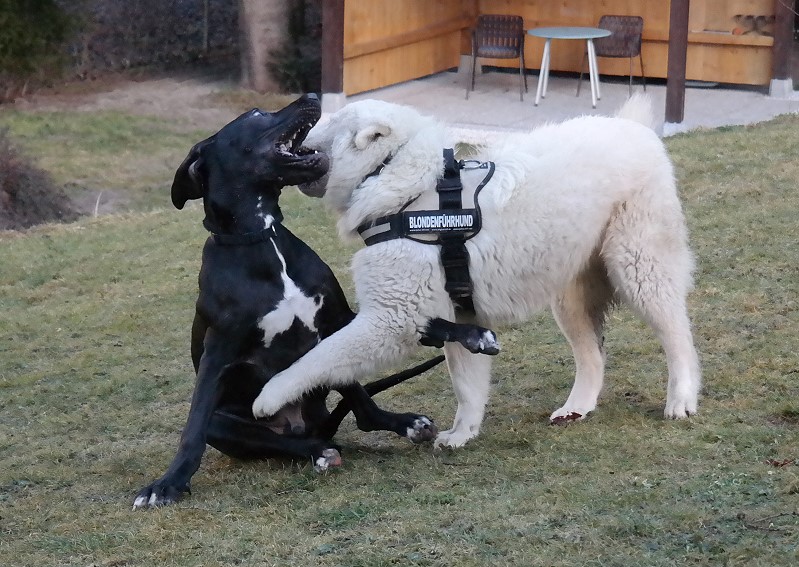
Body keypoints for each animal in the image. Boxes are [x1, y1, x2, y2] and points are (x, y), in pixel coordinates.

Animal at [133, 94, 500, 508]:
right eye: (256, 115)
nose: (310, 97)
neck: (263, 240)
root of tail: (308, 425)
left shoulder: (340, 318)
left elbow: (419, 324)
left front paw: (472, 334)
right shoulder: (217, 353)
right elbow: (192, 430)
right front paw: (168, 483)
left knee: (363, 412)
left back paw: (405, 424)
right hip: (227, 421)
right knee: (281, 441)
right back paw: (318, 451)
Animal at [251, 94, 702, 449]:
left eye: (330, 123)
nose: (311, 105)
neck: (405, 187)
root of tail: (633, 125)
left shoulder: (391, 321)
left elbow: (318, 357)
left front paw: (269, 396)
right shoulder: (460, 313)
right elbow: (468, 384)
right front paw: (462, 433)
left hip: (640, 266)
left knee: (678, 336)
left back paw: (681, 398)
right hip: (568, 292)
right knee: (592, 355)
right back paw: (577, 407)